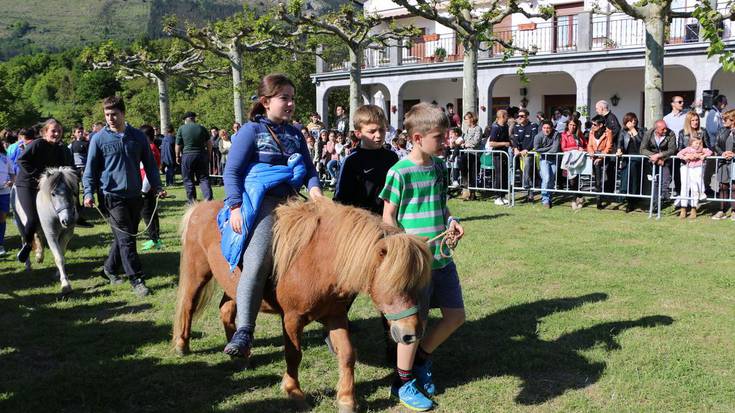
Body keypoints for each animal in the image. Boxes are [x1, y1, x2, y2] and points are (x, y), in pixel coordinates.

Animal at [172, 198, 432, 410]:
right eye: (392, 282)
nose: (411, 333)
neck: (318, 261)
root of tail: (199, 208)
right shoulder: (292, 319)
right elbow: (293, 354)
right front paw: (293, 391)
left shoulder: (335, 316)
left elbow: (348, 354)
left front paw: (347, 399)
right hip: (197, 274)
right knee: (188, 305)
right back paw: (182, 345)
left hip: (233, 286)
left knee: (226, 310)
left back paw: (240, 354)